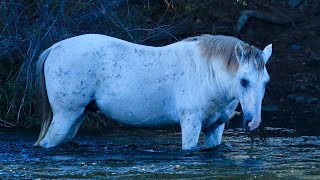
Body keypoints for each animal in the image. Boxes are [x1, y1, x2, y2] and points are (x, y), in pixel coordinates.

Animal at [33, 33, 272, 149]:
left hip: (76, 116)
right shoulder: (190, 124)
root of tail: (54, 48)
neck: (207, 73)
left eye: (265, 82)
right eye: (243, 81)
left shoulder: (214, 128)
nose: (253, 122)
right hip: (65, 115)